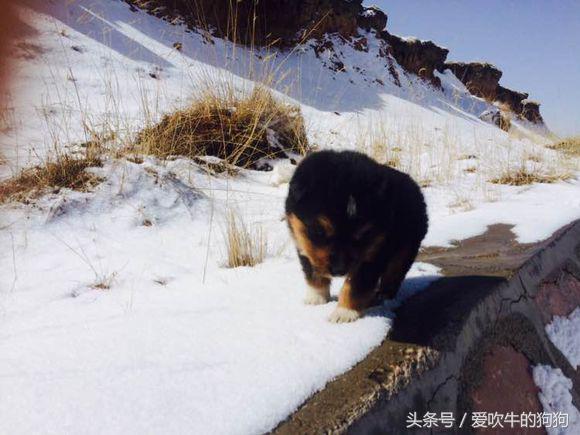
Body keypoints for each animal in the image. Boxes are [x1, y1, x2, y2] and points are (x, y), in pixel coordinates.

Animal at [286, 150, 426, 324]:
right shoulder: (303, 243)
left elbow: (356, 284)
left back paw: (383, 296)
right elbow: (312, 271)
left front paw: (344, 313)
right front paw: (316, 299)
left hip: (408, 245)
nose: (339, 271)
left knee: (395, 272)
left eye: (363, 235)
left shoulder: (376, 251)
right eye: (319, 231)